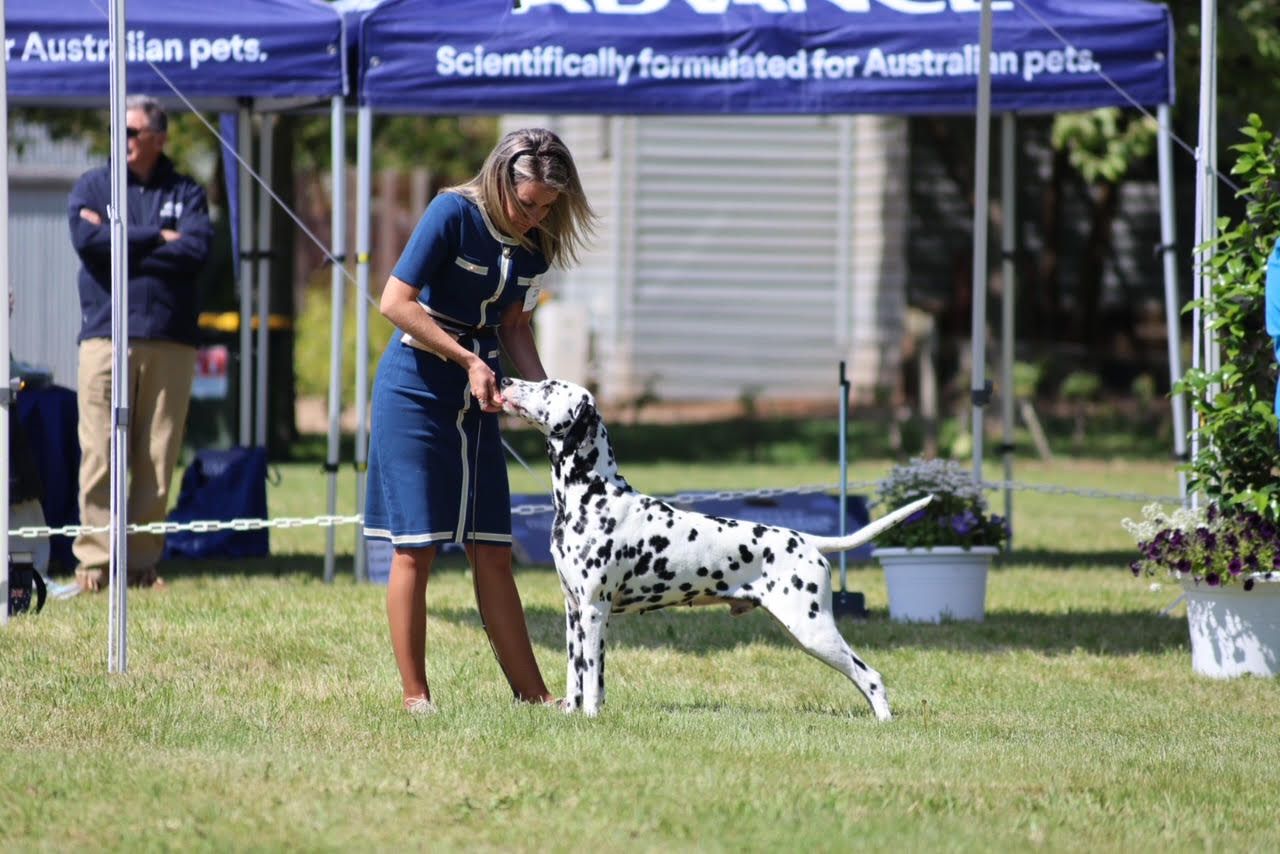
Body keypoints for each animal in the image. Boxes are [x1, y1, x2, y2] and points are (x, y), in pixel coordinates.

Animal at [500, 378, 930, 720]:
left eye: (548, 386)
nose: (503, 379)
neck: (593, 494)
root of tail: (807, 540)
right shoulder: (574, 611)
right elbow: (576, 675)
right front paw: (572, 714)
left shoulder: (594, 611)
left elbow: (591, 678)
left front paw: (590, 716)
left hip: (813, 629)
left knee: (871, 676)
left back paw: (885, 722)